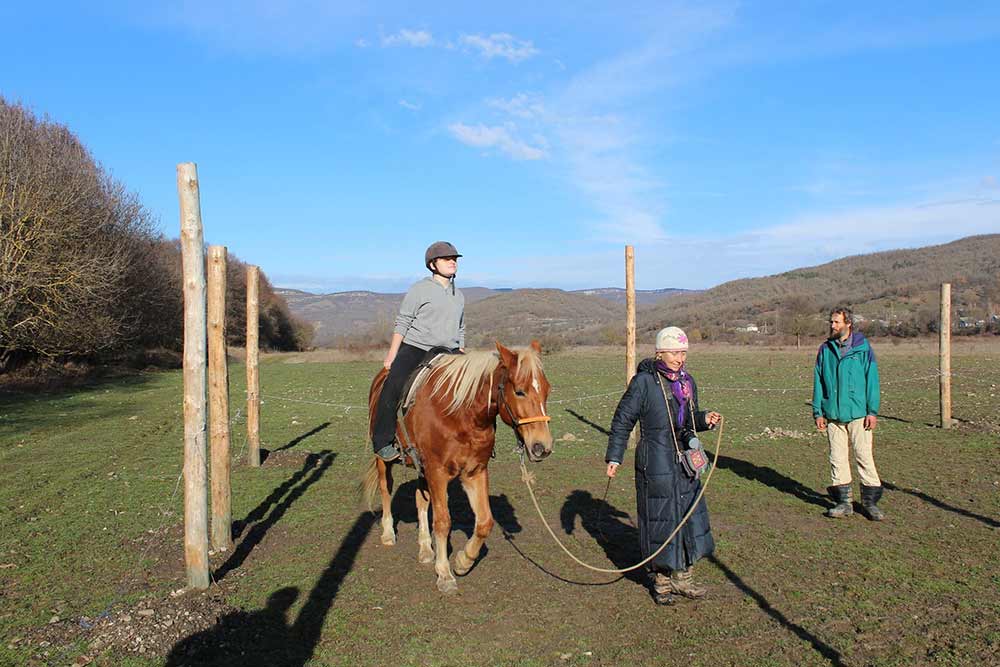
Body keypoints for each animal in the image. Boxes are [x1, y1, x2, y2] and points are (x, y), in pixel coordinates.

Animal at [362, 342, 556, 592]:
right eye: (520, 391)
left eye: (547, 391)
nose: (543, 447)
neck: (460, 415)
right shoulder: (437, 472)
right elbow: (443, 522)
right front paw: (444, 574)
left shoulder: (474, 472)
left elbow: (484, 522)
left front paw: (464, 561)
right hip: (384, 460)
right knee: (386, 489)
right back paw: (387, 533)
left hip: (422, 467)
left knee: (421, 500)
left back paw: (426, 549)